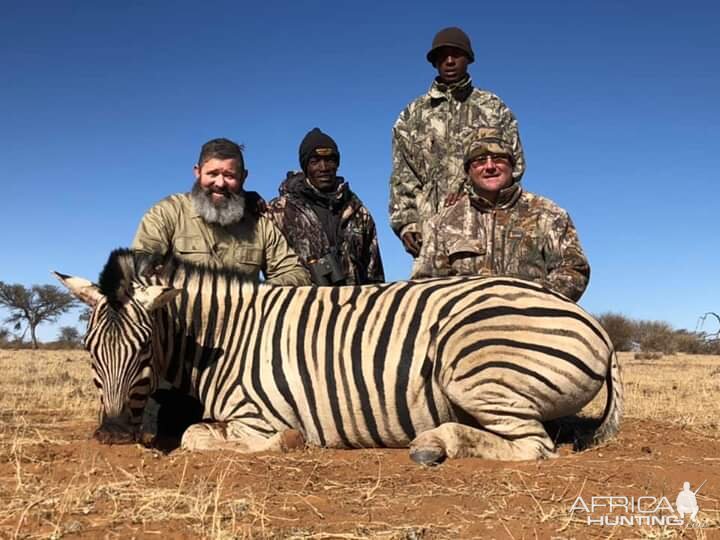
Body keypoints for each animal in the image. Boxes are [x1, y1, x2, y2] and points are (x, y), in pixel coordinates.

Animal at [54, 249, 624, 464]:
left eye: (144, 352)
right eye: (88, 351)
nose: (110, 435)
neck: (224, 338)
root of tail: (596, 324)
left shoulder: (257, 416)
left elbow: (197, 435)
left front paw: (290, 442)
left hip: (470, 368)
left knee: (534, 446)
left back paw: (433, 443)